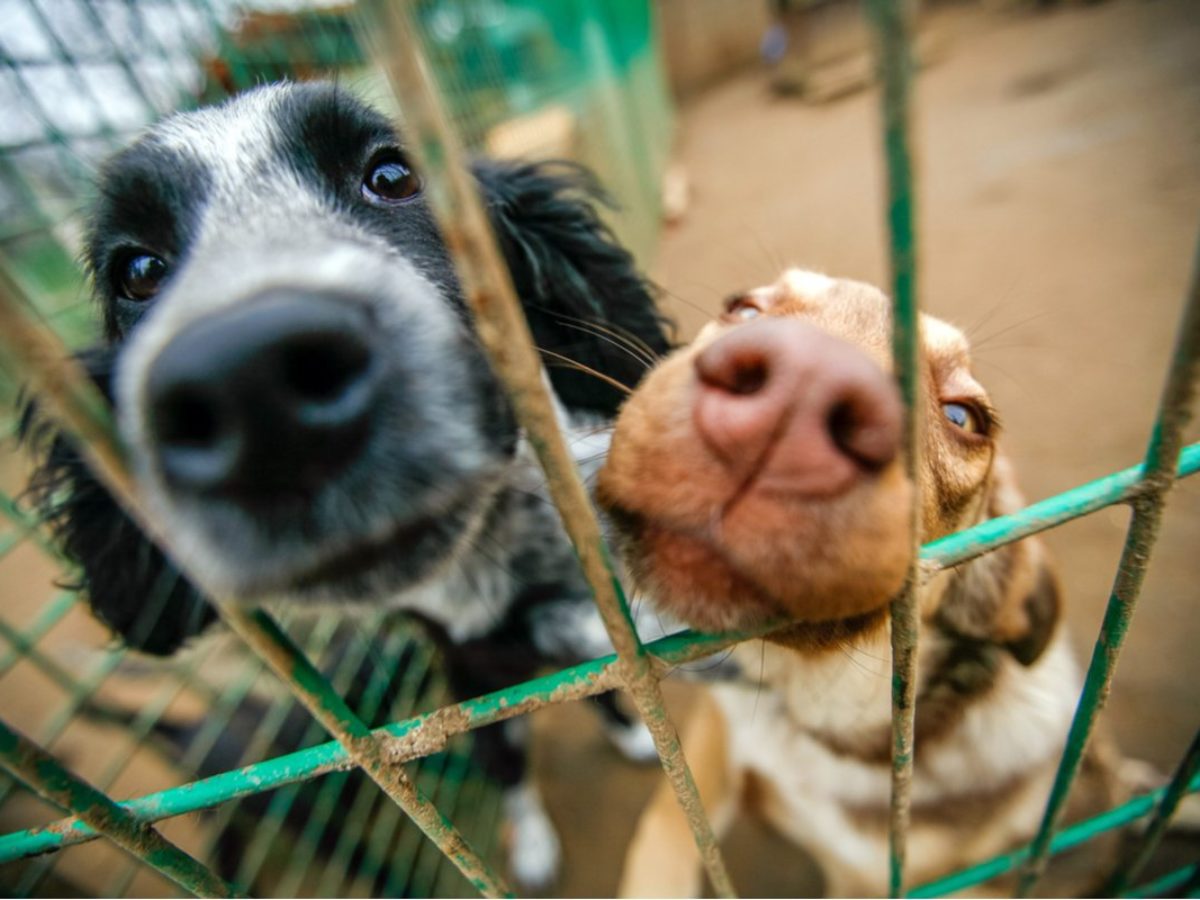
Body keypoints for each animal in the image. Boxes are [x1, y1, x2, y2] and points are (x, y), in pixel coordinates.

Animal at [604, 271, 1128, 897]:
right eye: (745, 309)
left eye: (963, 418)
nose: (803, 383)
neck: (810, 722)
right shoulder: (716, 742)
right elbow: (665, 836)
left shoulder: (867, 878)